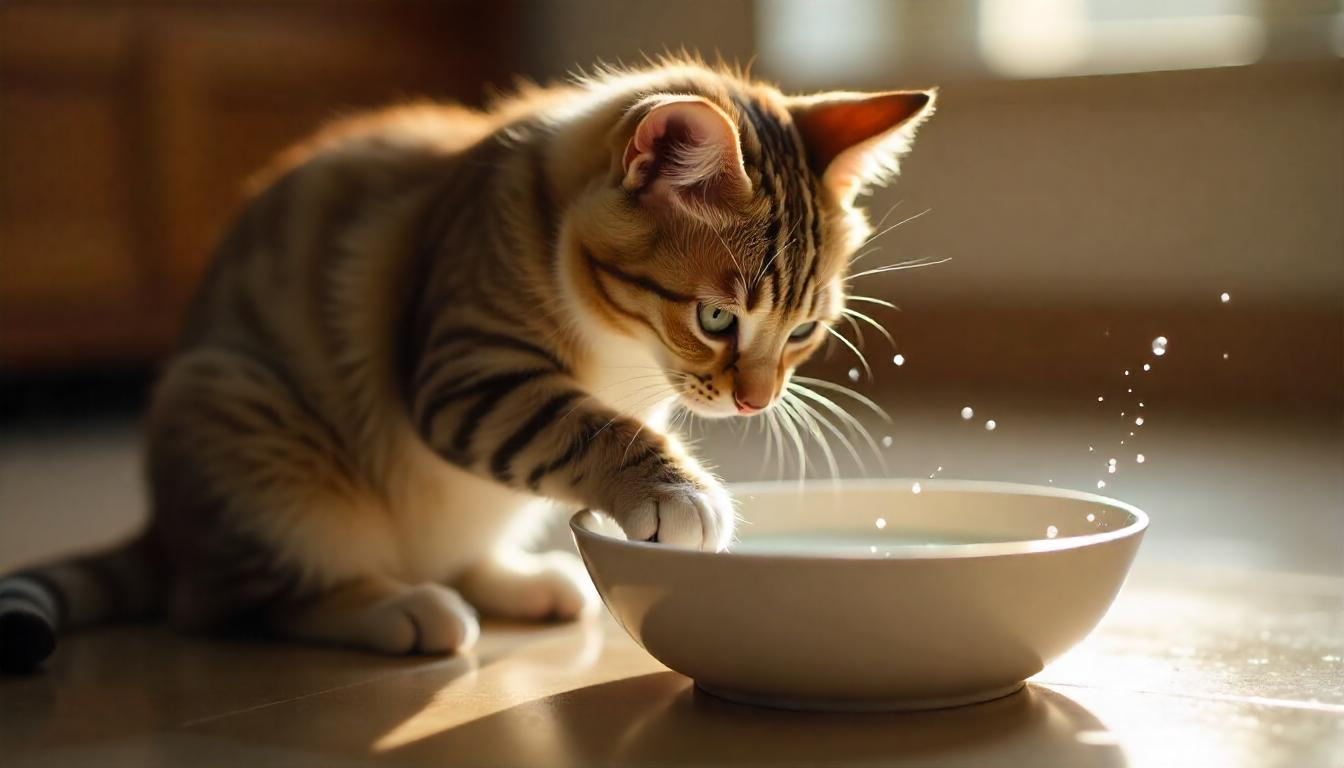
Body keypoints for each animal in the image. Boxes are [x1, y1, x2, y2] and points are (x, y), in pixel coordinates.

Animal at [0, 58, 935, 672]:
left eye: (805, 330)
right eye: (716, 318)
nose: (754, 401)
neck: (622, 352)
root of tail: (162, 530)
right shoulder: (466, 372)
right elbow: (581, 424)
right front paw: (676, 491)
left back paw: (524, 582)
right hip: (242, 420)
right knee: (236, 603)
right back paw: (399, 608)